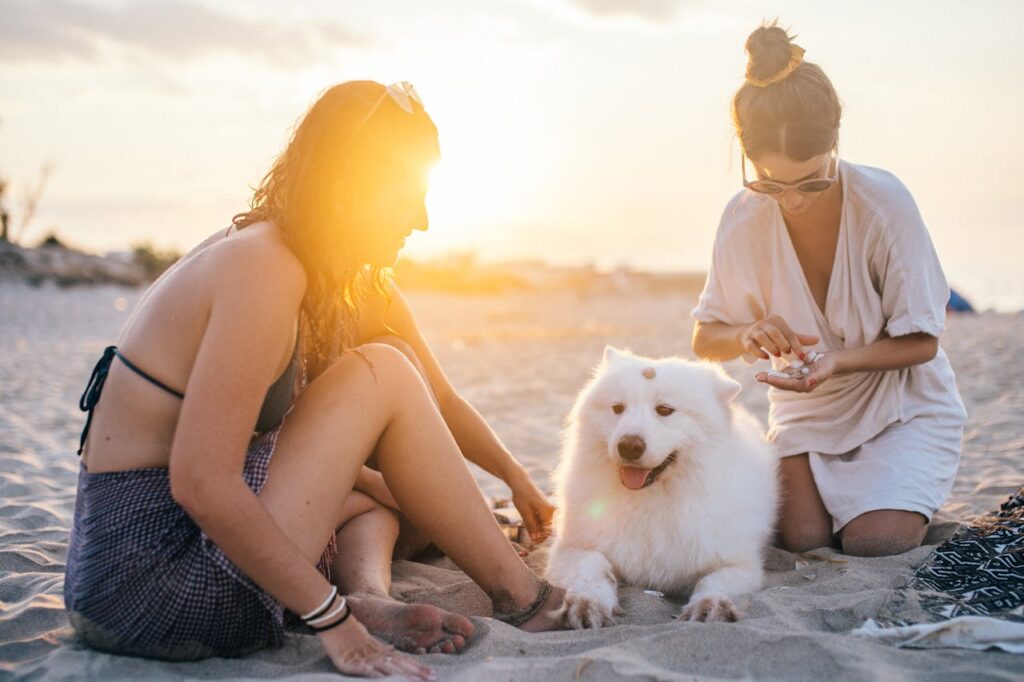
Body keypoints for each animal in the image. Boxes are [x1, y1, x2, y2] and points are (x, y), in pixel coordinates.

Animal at [544, 348, 774, 622]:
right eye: (618, 408)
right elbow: (593, 571)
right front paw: (587, 604)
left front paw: (712, 606)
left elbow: (713, 582)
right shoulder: (573, 549)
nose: (629, 446)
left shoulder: (739, 564)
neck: (652, 498)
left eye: (664, 410)